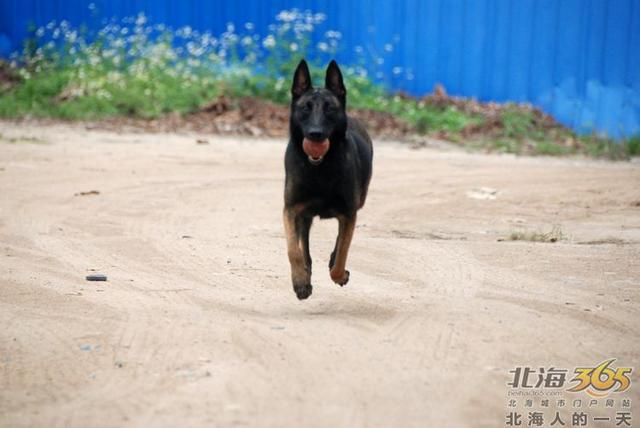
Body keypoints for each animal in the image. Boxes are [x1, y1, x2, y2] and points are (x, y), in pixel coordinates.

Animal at [282, 59, 372, 300]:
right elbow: (293, 250)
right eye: (305, 108)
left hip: (357, 203)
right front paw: (300, 281)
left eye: (330, 108)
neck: (320, 169)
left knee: (339, 242)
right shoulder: (291, 210)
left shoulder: (349, 213)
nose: (315, 134)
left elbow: (342, 251)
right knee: (304, 244)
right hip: (304, 216)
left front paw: (339, 275)